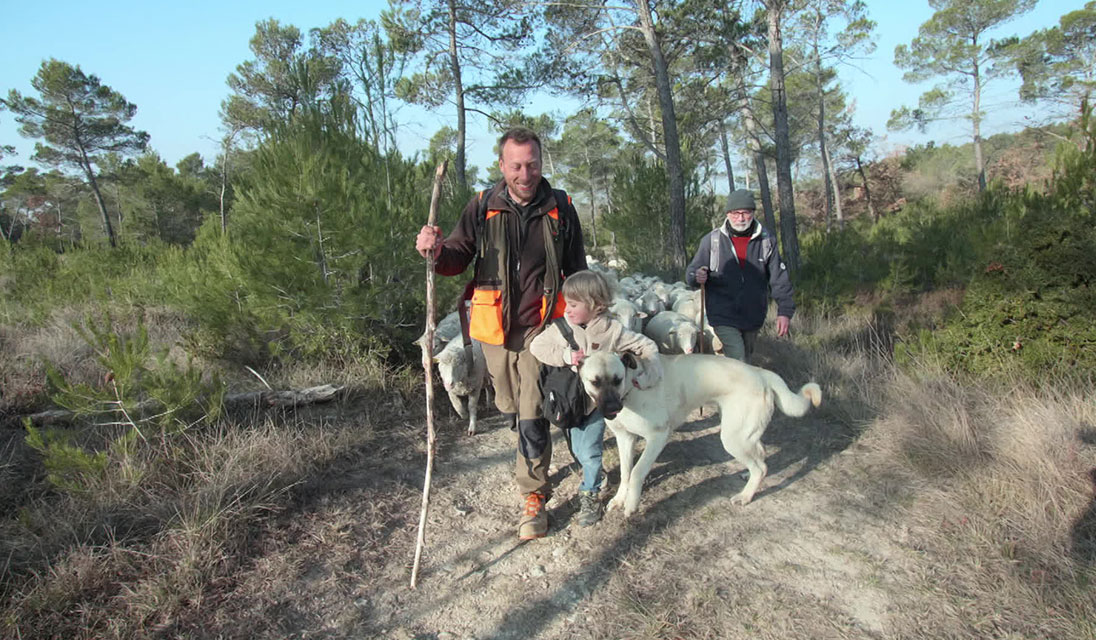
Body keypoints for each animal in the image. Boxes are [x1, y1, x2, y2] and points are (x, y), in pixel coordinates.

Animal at [578, 350, 819, 515]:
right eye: (595, 382)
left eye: (617, 380)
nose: (612, 409)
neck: (630, 389)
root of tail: (761, 373)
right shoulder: (625, 438)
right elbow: (626, 472)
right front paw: (620, 498)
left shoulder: (657, 437)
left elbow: (637, 472)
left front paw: (631, 504)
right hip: (743, 434)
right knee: (761, 455)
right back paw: (747, 476)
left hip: (733, 438)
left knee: (761, 467)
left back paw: (745, 496)